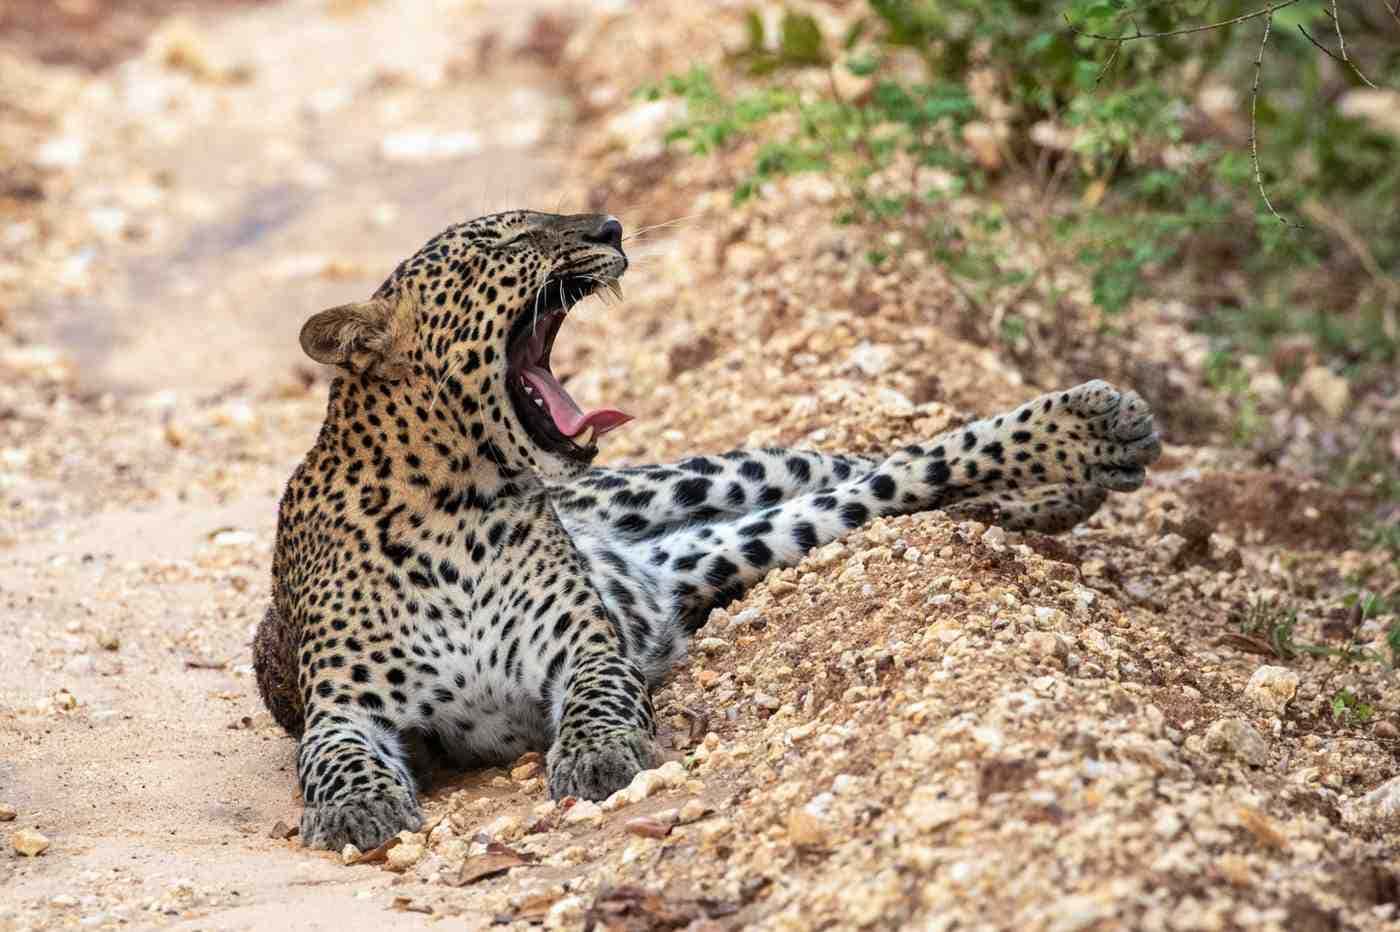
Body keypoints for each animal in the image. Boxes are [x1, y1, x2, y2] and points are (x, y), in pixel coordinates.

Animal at [253, 209, 1162, 852]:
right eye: (507, 238)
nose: (610, 227)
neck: (458, 503)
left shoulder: (582, 645)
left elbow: (600, 696)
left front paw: (600, 756)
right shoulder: (343, 706)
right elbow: (331, 757)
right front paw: (359, 810)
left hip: (715, 477)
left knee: (876, 458)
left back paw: (1096, 434)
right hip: (739, 541)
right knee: (875, 493)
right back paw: (1067, 484)